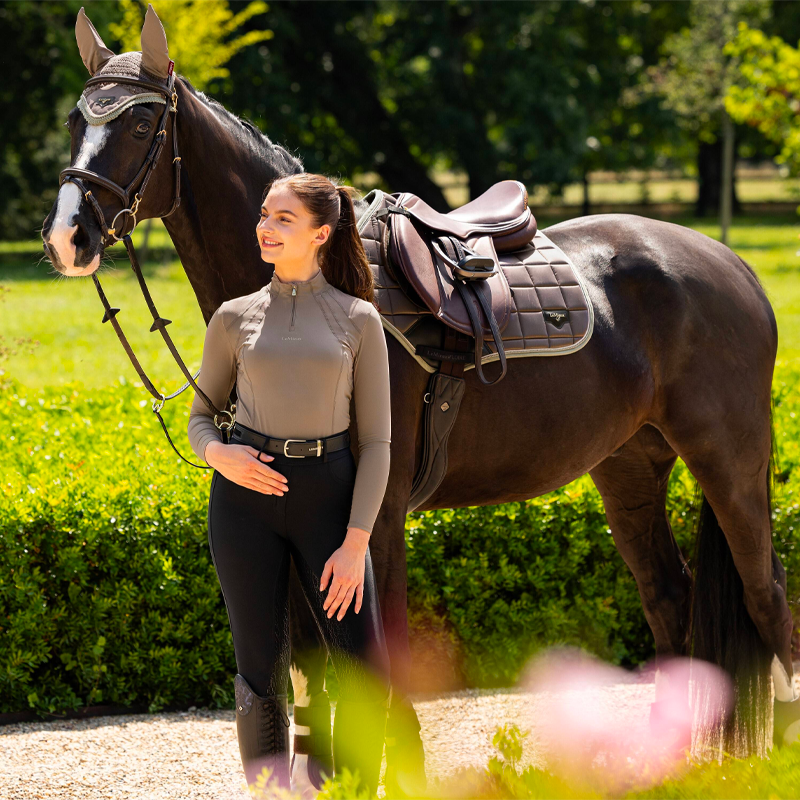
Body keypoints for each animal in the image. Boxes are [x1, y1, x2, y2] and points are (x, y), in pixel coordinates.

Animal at [43, 1, 800, 788]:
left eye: (138, 125)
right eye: (73, 120)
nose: (68, 237)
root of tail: (730, 262)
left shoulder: (375, 519)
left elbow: (379, 662)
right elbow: (310, 669)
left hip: (730, 462)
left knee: (768, 599)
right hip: (629, 467)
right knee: (670, 601)